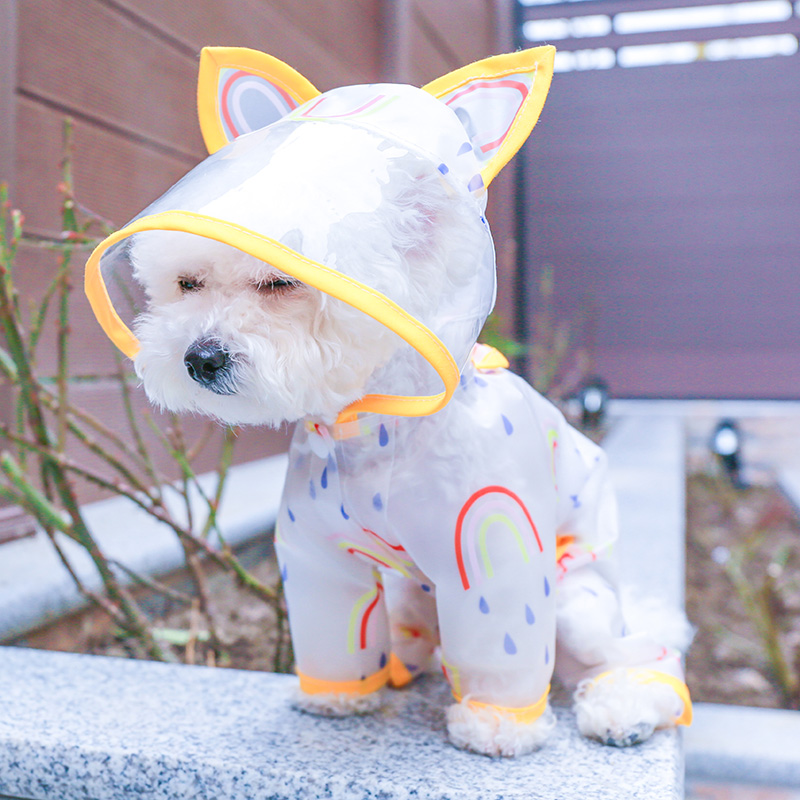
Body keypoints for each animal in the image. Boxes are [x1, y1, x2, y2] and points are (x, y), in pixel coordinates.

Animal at [84, 47, 692, 760]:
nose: (200, 357)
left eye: (279, 282)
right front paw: (339, 699)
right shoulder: (314, 553)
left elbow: (503, 641)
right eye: (187, 283)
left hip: (579, 601)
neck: (373, 425)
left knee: (634, 653)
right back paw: (403, 662)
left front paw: (495, 725)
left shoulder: (492, 545)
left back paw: (624, 707)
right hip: (409, 597)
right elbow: (335, 628)